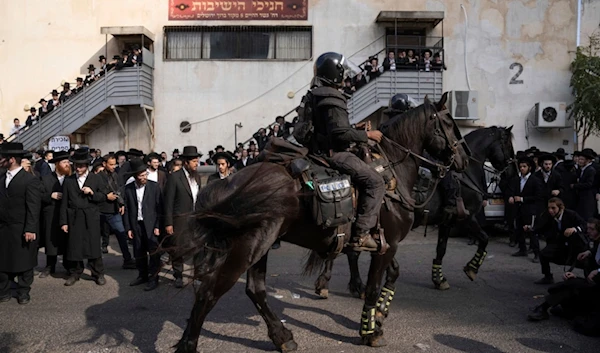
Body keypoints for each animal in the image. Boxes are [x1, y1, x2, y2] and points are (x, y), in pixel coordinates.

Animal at [170, 94, 468, 352]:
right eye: (449, 123)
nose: (463, 160)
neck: (392, 172)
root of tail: (230, 181)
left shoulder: (384, 243)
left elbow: (391, 275)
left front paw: (380, 315)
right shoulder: (388, 244)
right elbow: (373, 287)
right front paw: (370, 330)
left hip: (259, 246)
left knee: (255, 290)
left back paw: (282, 337)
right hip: (248, 248)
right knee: (209, 292)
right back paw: (188, 344)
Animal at [314, 125, 516, 296]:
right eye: (508, 145)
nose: (512, 172)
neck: (465, 175)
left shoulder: (447, 221)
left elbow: (441, 249)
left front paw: (439, 278)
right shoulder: (467, 218)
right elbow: (484, 238)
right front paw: (472, 268)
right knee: (350, 250)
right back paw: (340, 284)